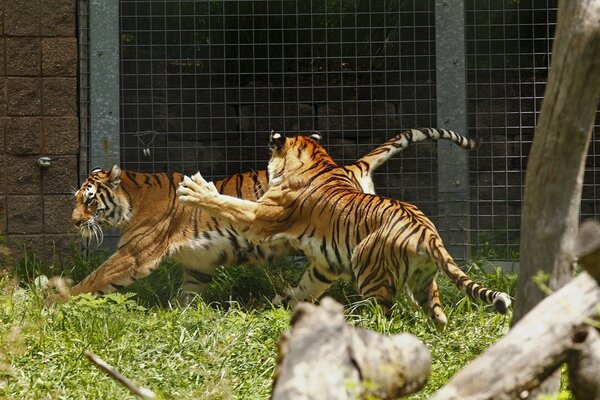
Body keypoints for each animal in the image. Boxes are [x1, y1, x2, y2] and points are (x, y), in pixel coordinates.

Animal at [68, 128, 478, 306]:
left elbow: (95, 278)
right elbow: (187, 296)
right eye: (76, 199)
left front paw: (58, 300)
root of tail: (350, 166)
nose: (73, 221)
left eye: (88, 200)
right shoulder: (198, 265)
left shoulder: (135, 255)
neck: (132, 199)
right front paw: (179, 318)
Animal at [176, 130, 508, 330]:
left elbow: (228, 203)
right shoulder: (325, 262)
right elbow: (306, 286)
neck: (316, 159)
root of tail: (427, 232)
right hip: (423, 281)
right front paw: (286, 305)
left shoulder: (261, 217)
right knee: (438, 316)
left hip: (370, 270)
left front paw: (196, 190)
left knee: (384, 315)